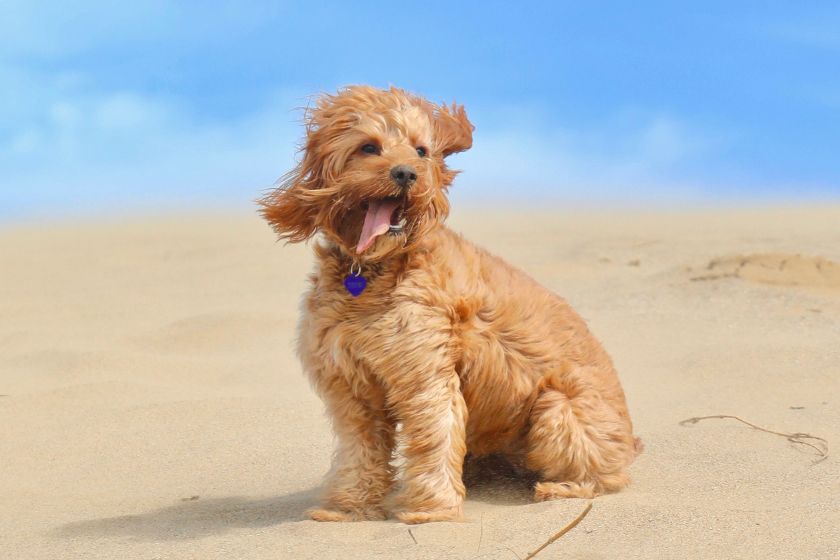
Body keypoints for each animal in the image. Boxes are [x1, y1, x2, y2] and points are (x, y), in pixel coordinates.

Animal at [260, 85, 640, 524]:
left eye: (421, 151)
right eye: (369, 147)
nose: (406, 174)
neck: (372, 268)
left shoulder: (425, 371)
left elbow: (433, 437)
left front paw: (431, 510)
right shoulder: (351, 388)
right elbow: (360, 449)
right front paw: (349, 506)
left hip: (556, 410)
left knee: (606, 477)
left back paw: (560, 487)